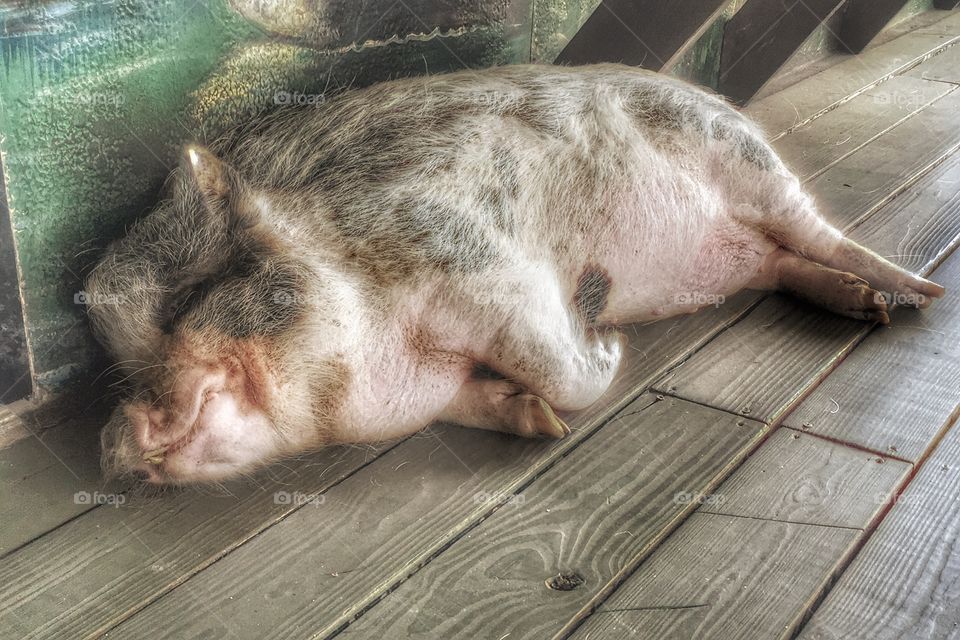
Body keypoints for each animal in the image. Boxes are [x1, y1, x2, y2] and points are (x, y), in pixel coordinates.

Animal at [85, 63, 945, 484]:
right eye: (125, 359)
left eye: (191, 298)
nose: (113, 445)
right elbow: (500, 400)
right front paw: (536, 422)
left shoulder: (472, 258)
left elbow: (567, 370)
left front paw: (603, 334)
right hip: (755, 241)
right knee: (779, 262)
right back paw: (867, 305)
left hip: (747, 159)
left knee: (821, 231)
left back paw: (915, 295)